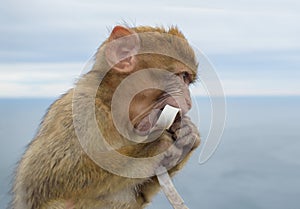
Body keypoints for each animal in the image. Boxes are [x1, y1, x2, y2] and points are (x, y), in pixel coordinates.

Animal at [11, 25, 200, 208]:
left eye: (187, 80)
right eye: (182, 76)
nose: (189, 101)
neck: (111, 106)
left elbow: (140, 197)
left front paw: (186, 134)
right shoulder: (82, 111)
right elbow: (48, 179)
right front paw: (157, 144)